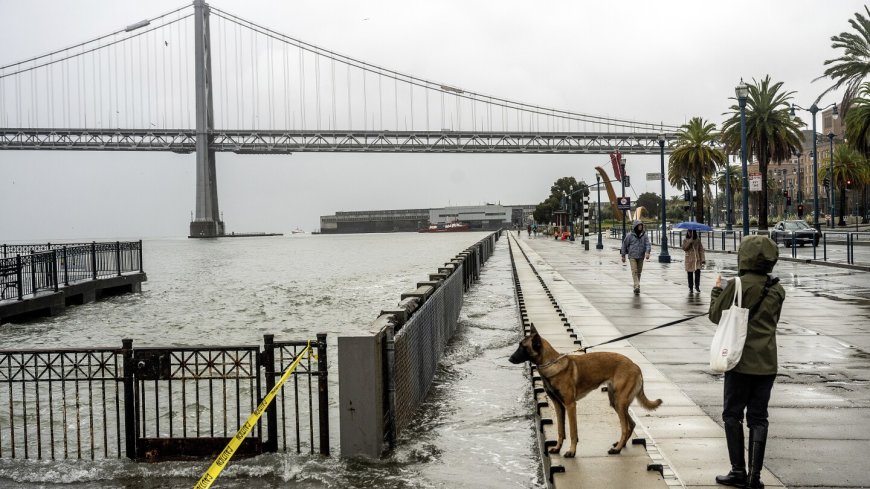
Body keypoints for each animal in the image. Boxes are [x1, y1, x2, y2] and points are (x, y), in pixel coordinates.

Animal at [510, 326, 660, 456]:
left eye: (522, 347)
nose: (510, 358)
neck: (551, 363)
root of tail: (636, 366)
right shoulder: (558, 406)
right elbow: (560, 430)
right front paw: (558, 448)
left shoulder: (570, 405)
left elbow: (572, 431)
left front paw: (571, 451)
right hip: (615, 402)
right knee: (631, 424)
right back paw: (620, 445)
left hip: (620, 402)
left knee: (625, 427)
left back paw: (617, 449)